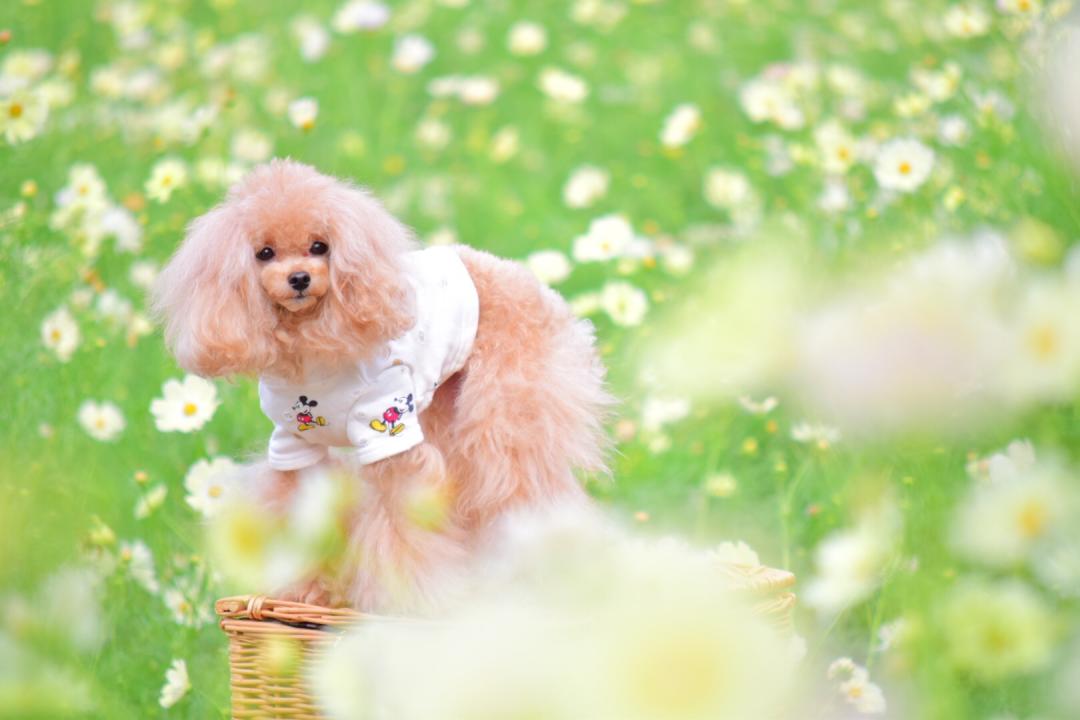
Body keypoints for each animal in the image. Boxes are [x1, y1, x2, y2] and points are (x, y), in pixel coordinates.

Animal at [150, 158, 617, 613]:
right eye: (264, 253)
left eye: (320, 246)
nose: (299, 278)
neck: (312, 349)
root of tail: (522, 275)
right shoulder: (293, 444)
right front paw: (305, 592)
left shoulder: (390, 436)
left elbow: (402, 529)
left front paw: (410, 600)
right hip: (446, 412)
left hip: (505, 415)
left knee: (524, 485)